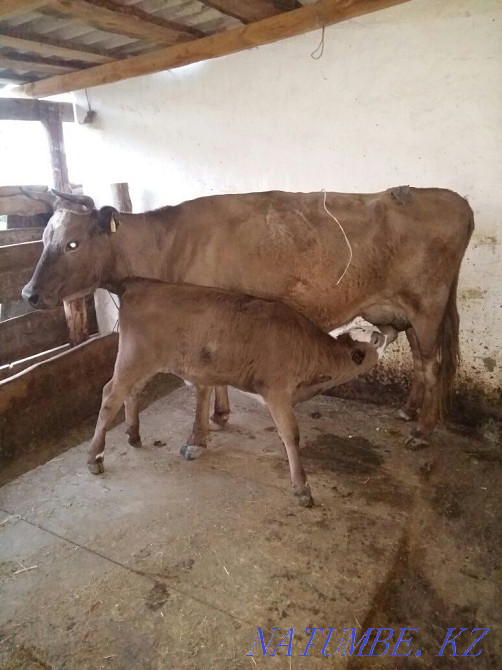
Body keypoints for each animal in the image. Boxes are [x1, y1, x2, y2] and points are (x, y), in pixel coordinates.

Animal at [21, 186, 474, 449]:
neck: (165, 246)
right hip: (408, 311)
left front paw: (198, 436)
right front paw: (220, 416)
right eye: (42, 239)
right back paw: (409, 412)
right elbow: (213, 375)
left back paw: (422, 432)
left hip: (427, 304)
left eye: (72, 243)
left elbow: (201, 385)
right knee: (420, 360)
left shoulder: (200, 312)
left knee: (432, 363)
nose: (28, 294)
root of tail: (454, 198)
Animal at [87, 279, 397, 506]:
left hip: (144, 364)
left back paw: (133, 436)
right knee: (109, 397)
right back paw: (94, 457)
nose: (392, 329)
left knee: (131, 393)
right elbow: (291, 436)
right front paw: (302, 489)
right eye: (375, 339)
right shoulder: (277, 391)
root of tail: (139, 284)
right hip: (133, 359)